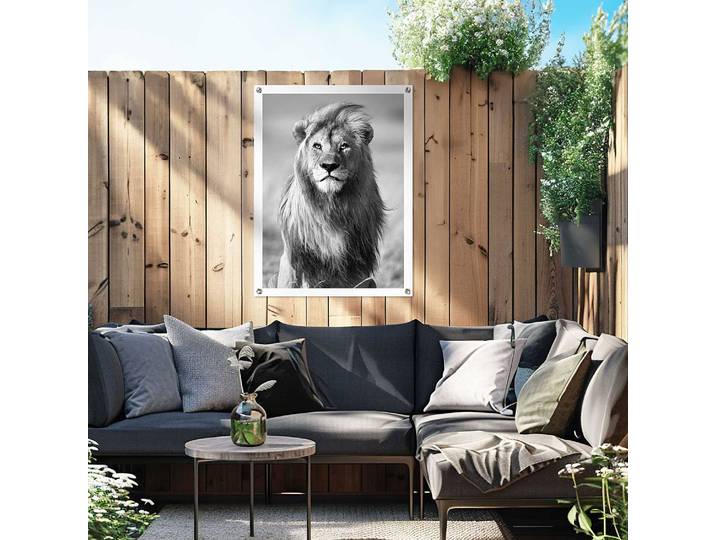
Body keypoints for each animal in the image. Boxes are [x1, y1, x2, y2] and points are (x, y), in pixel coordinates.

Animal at [274, 102, 386, 289]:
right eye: (317, 146)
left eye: (344, 146)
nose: (329, 166)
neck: (331, 205)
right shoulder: (302, 260)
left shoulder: (358, 264)